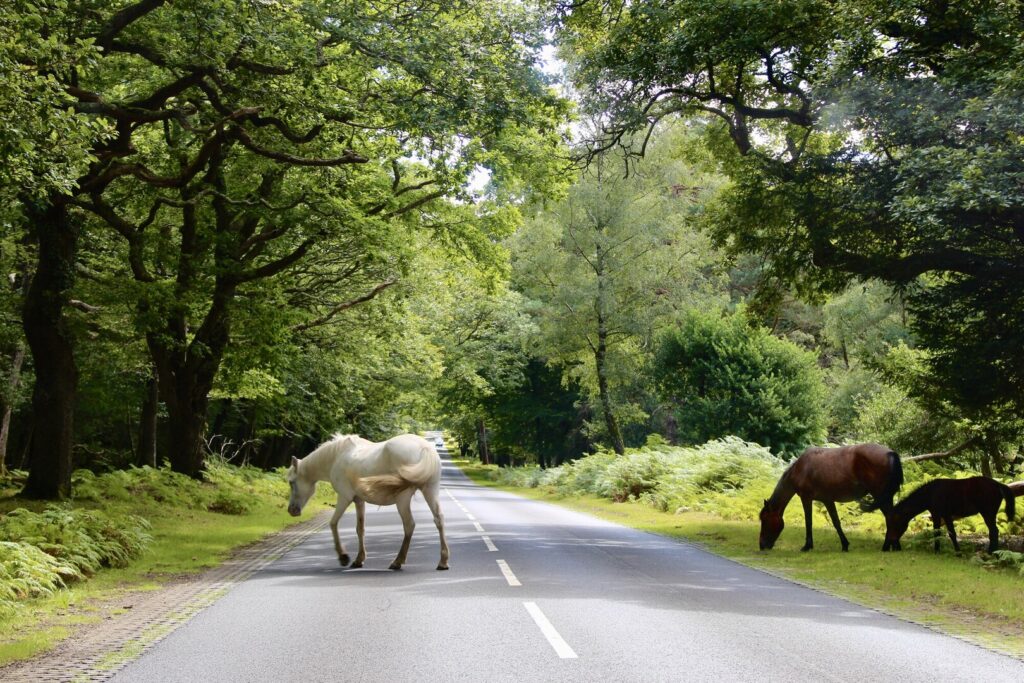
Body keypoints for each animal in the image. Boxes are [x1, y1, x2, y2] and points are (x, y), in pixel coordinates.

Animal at [286, 433, 450, 571]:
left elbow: (333, 524)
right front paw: (359, 560)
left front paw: (343, 557)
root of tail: (425, 447)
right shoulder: (359, 501)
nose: (291, 510)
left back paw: (397, 562)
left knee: (409, 525)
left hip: (403, 499)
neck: (336, 457)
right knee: (439, 519)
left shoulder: (344, 497)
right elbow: (360, 529)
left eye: (291, 482)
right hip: (430, 490)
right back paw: (443, 562)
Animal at [759, 443, 903, 552]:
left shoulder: (806, 498)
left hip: (880, 495)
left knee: (891, 516)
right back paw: (894, 545)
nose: (762, 545)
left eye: (765, 520)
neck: (801, 468)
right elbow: (836, 522)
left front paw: (807, 546)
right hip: (886, 497)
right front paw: (845, 545)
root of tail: (890, 453)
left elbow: (809, 522)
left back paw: (887, 546)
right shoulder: (827, 500)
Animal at [883, 476, 1016, 553]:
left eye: (894, 524)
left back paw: (991, 553)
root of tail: (998, 484)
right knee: (994, 531)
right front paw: (943, 551)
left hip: (988, 513)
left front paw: (953, 552)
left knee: (994, 531)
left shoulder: (942, 514)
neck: (930, 493)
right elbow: (943, 533)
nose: (886, 545)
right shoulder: (940, 515)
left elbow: (946, 533)